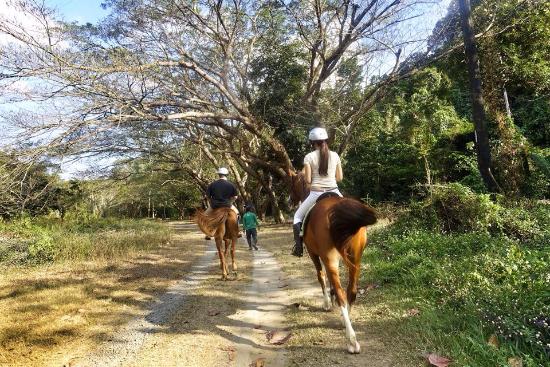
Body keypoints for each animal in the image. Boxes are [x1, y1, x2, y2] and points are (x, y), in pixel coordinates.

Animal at [288, 171, 380, 356]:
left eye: (292, 184)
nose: (289, 201)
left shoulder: (314, 253)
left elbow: (321, 276)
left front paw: (327, 304)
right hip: (355, 258)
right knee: (351, 291)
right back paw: (346, 322)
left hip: (330, 257)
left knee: (341, 292)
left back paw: (351, 341)